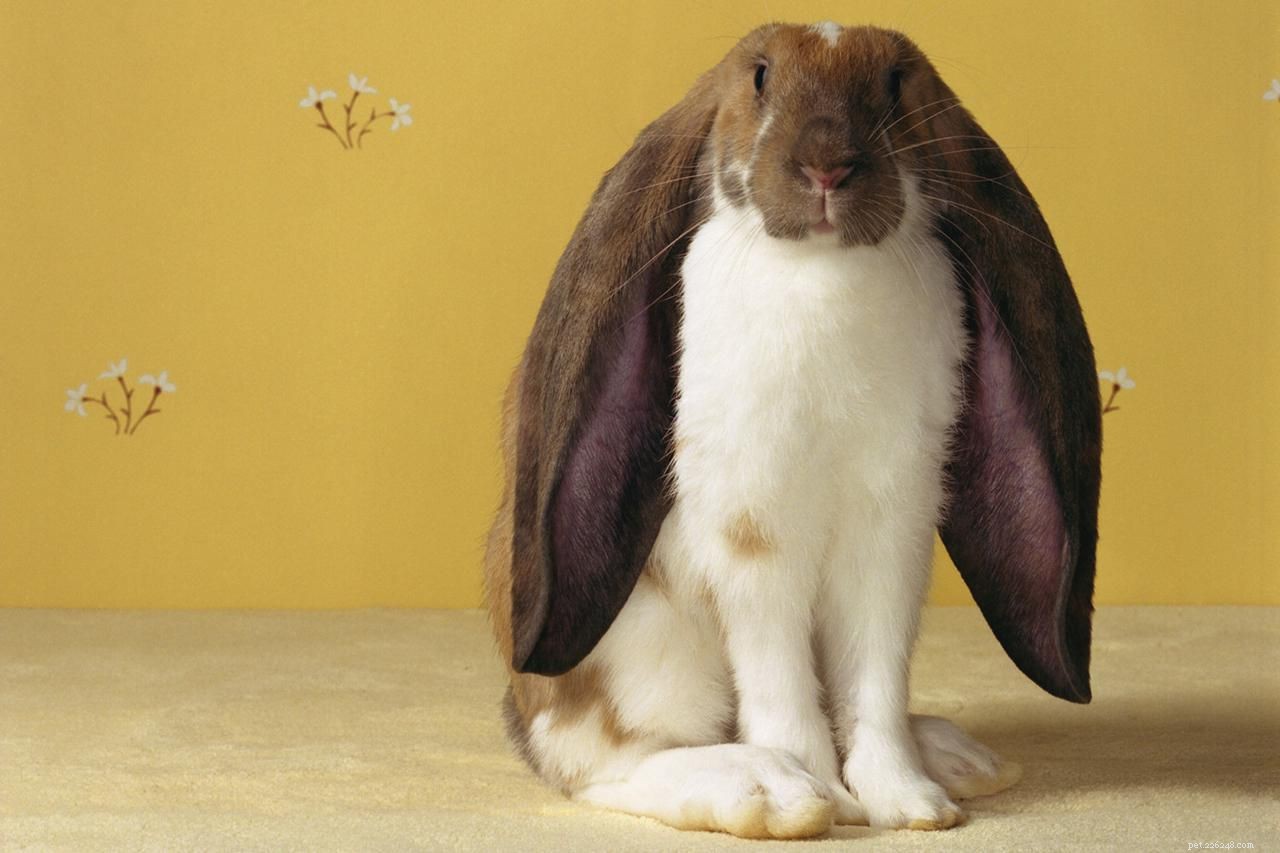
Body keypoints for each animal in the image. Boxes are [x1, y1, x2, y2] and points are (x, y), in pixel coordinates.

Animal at [483, 21, 1101, 840]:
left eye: (898, 80)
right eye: (759, 77)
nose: (826, 165)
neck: (823, 269)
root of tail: (521, 702)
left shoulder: (891, 524)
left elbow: (875, 677)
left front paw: (910, 803)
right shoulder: (756, 528)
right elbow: (780, 684)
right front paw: (826, 798)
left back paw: (956, 757)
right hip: (644, 649)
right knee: (604, 761)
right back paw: (765, 791)